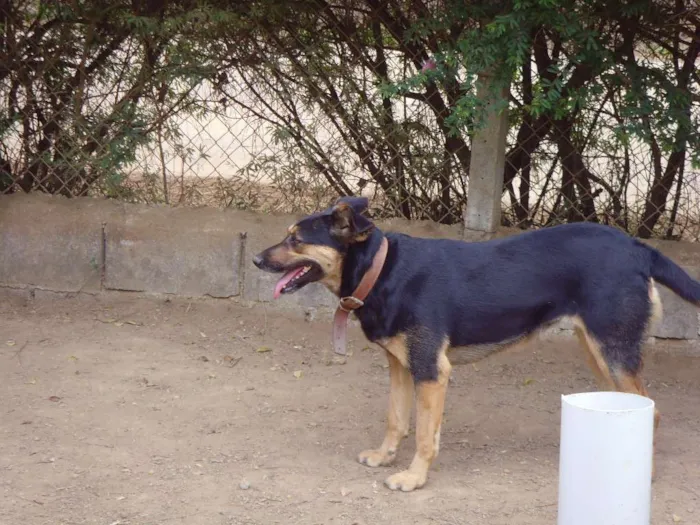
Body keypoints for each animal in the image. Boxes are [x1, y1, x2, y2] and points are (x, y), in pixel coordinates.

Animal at [252, 196, 700, 492]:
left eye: (295, 240)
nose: (255, 260)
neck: (382, 270)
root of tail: (636, 246)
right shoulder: (400, 366)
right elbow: (396, 419)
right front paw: (384, 456)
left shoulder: (431, 371)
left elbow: (424, 435)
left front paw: (413, 477)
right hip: (597, 352)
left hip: (613, 353)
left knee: (653, 412)